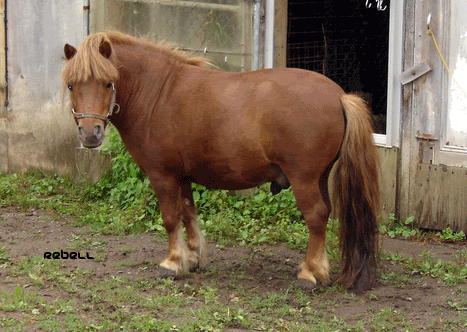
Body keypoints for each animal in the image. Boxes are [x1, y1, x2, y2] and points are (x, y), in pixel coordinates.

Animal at [62, 30, 380, 290]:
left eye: (107, 83)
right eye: (71, 86)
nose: (90, 133)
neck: (157, 92)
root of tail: (340, 96)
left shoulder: (162, 174)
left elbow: (170, 217)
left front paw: (172, 262)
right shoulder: (182, 175)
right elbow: (188, 213)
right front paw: (192, 258)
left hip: (304, 179)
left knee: (316, 216)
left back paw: (310, 273)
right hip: (320, 177)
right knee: (325, 214)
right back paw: (320, 270)